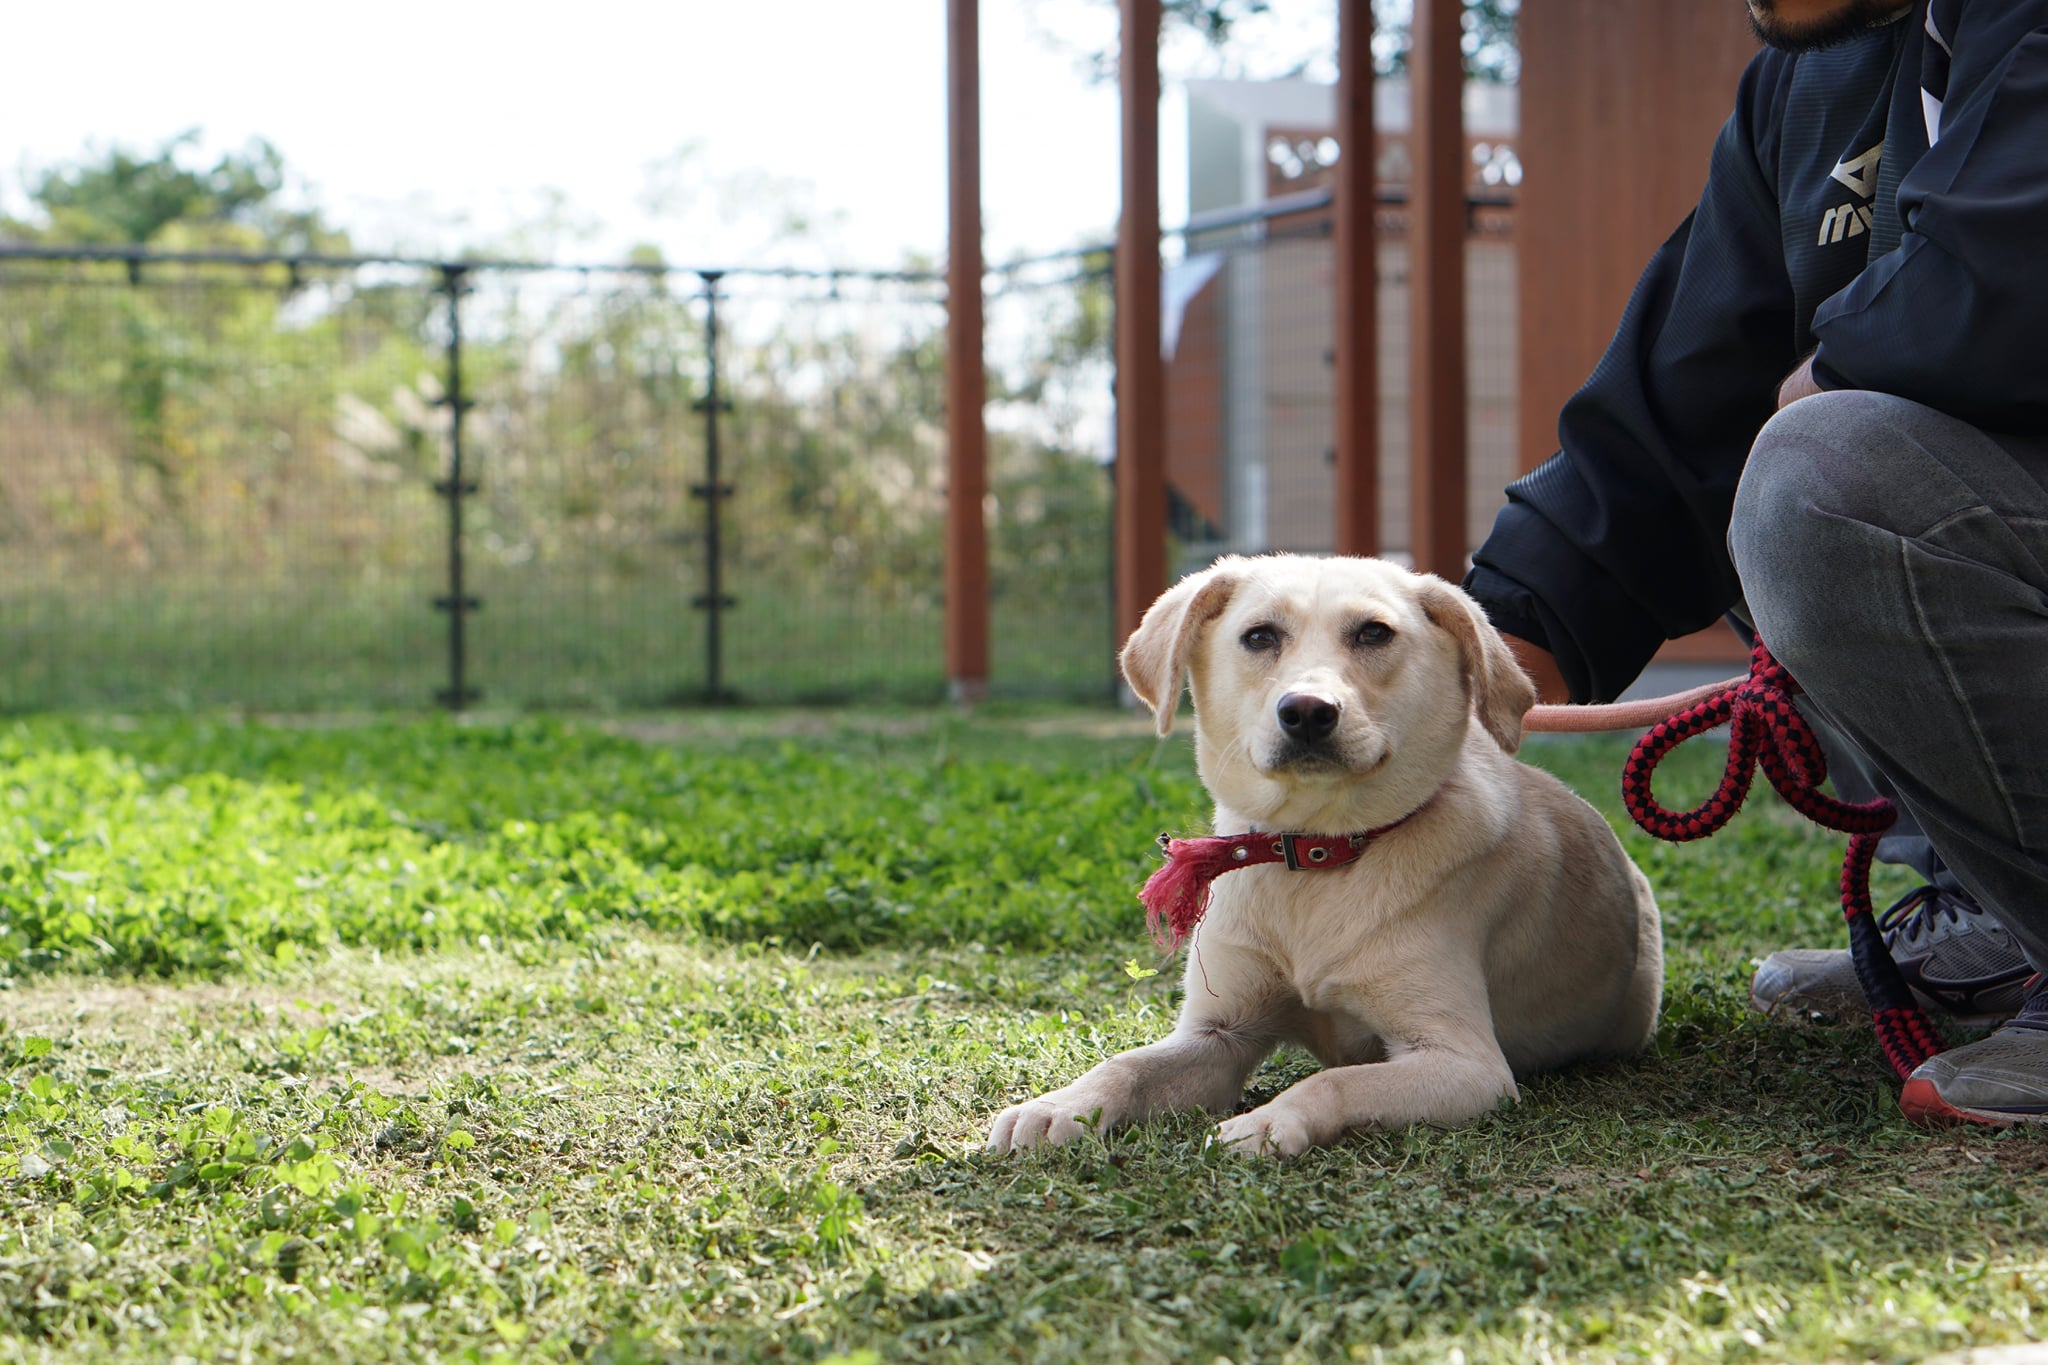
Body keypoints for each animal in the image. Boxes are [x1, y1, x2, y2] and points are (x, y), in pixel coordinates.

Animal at [991, 552, 1662, 1154]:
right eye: (1259, 636)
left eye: (1374, 632)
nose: (1308, 712)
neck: (1315, 859)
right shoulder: (1217, 1035)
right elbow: (1124, 1065)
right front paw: (1059, 1107)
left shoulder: (1466, 1063)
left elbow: (1334, 1079)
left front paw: (1269, 1120)